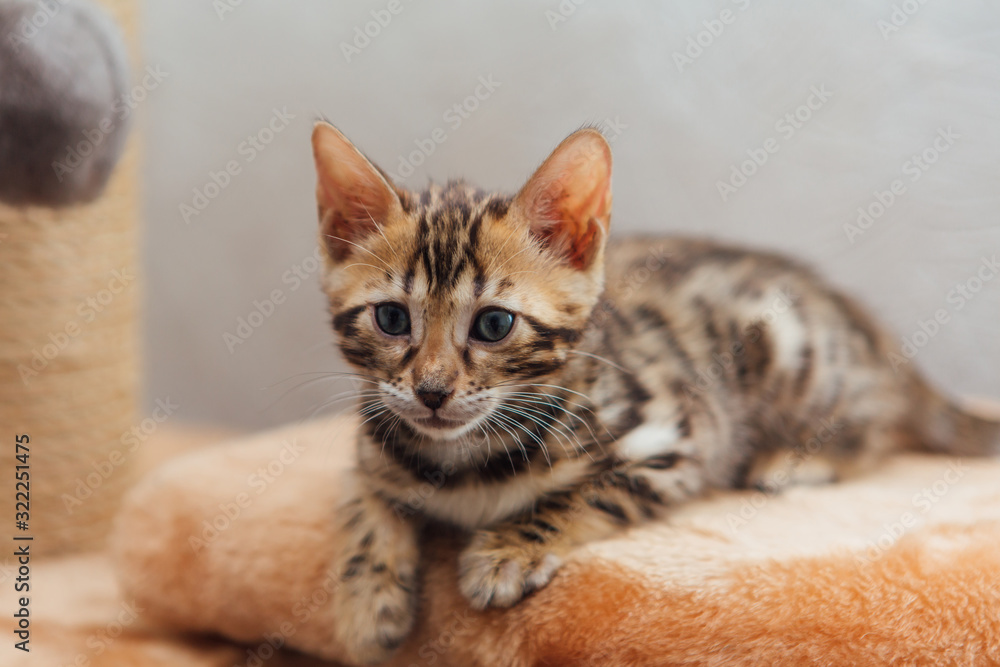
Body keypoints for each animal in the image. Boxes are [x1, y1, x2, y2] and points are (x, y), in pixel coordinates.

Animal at [308, 121, 996, 664]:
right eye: (391, 318)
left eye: (494, 325)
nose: (431, 392)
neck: (464, 458)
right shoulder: (371, 444)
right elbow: (366, 502)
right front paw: (366, 599)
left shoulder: (677, 438)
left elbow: (580, 495)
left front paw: (507, 550)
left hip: (793, 350)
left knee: (877, 423)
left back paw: (798, 458)